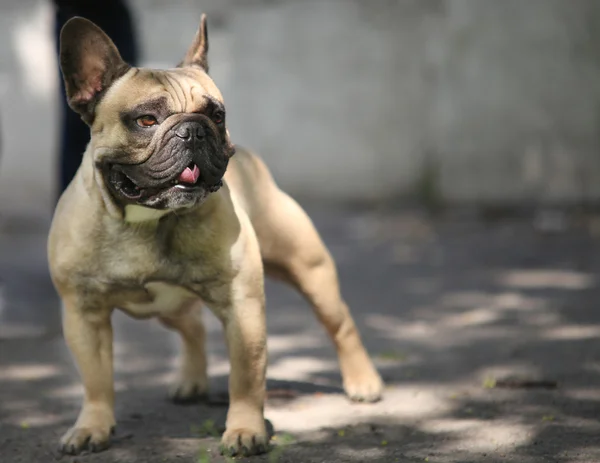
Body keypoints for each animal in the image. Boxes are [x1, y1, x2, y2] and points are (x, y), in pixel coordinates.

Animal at [48, 12, 384, 458]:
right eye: (146, 120)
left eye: (217, 115)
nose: (194, 130)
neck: (148, 220)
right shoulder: (83, 315)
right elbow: (96, 380)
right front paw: (92, 427)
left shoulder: (243, 309)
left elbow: (246, 377)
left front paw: (245, 430)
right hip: (165, 306)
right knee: (191, 326)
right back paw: (191, 380)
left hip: (311, 272)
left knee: (340, 324)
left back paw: (363, 382)